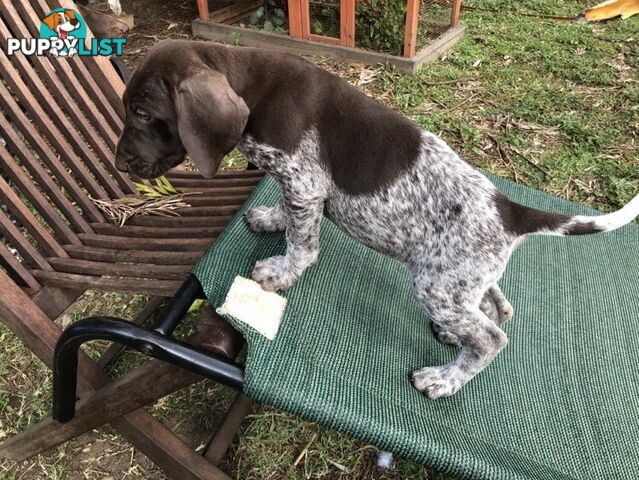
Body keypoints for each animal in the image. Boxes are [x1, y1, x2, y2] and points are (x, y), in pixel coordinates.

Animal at [115, 41, 639, 400]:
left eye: (142, 112)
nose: (120, 164)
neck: (254, 87)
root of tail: (509, 209)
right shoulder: (298, 186)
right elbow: (289, 216)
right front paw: (272, 220)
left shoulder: (304, 182)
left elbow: (303, 243)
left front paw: (282, 271)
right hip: (464, 281)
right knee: (498, 307)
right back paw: (453, 337)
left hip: (436, 284)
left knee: (493, 337)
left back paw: (445, 379)